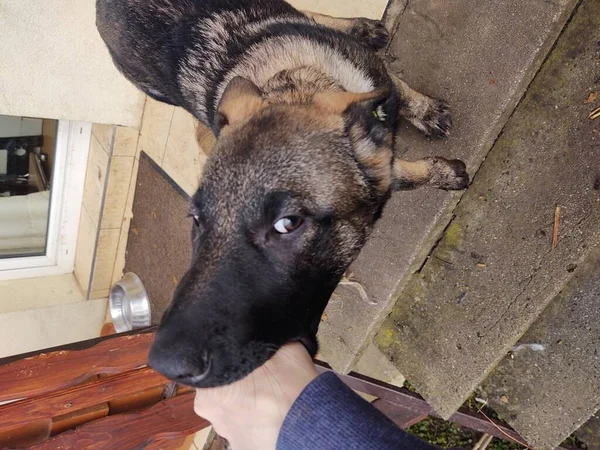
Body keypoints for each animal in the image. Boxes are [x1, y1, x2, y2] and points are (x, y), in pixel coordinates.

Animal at [96, 0, 468, 386]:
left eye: (287, 223)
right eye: (196, 220)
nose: (168, 365)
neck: (294, 84)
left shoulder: (376, 86)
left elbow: (402, 99)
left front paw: (426, 115)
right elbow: (402, 174)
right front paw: (441, 173)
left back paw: (360, 28)